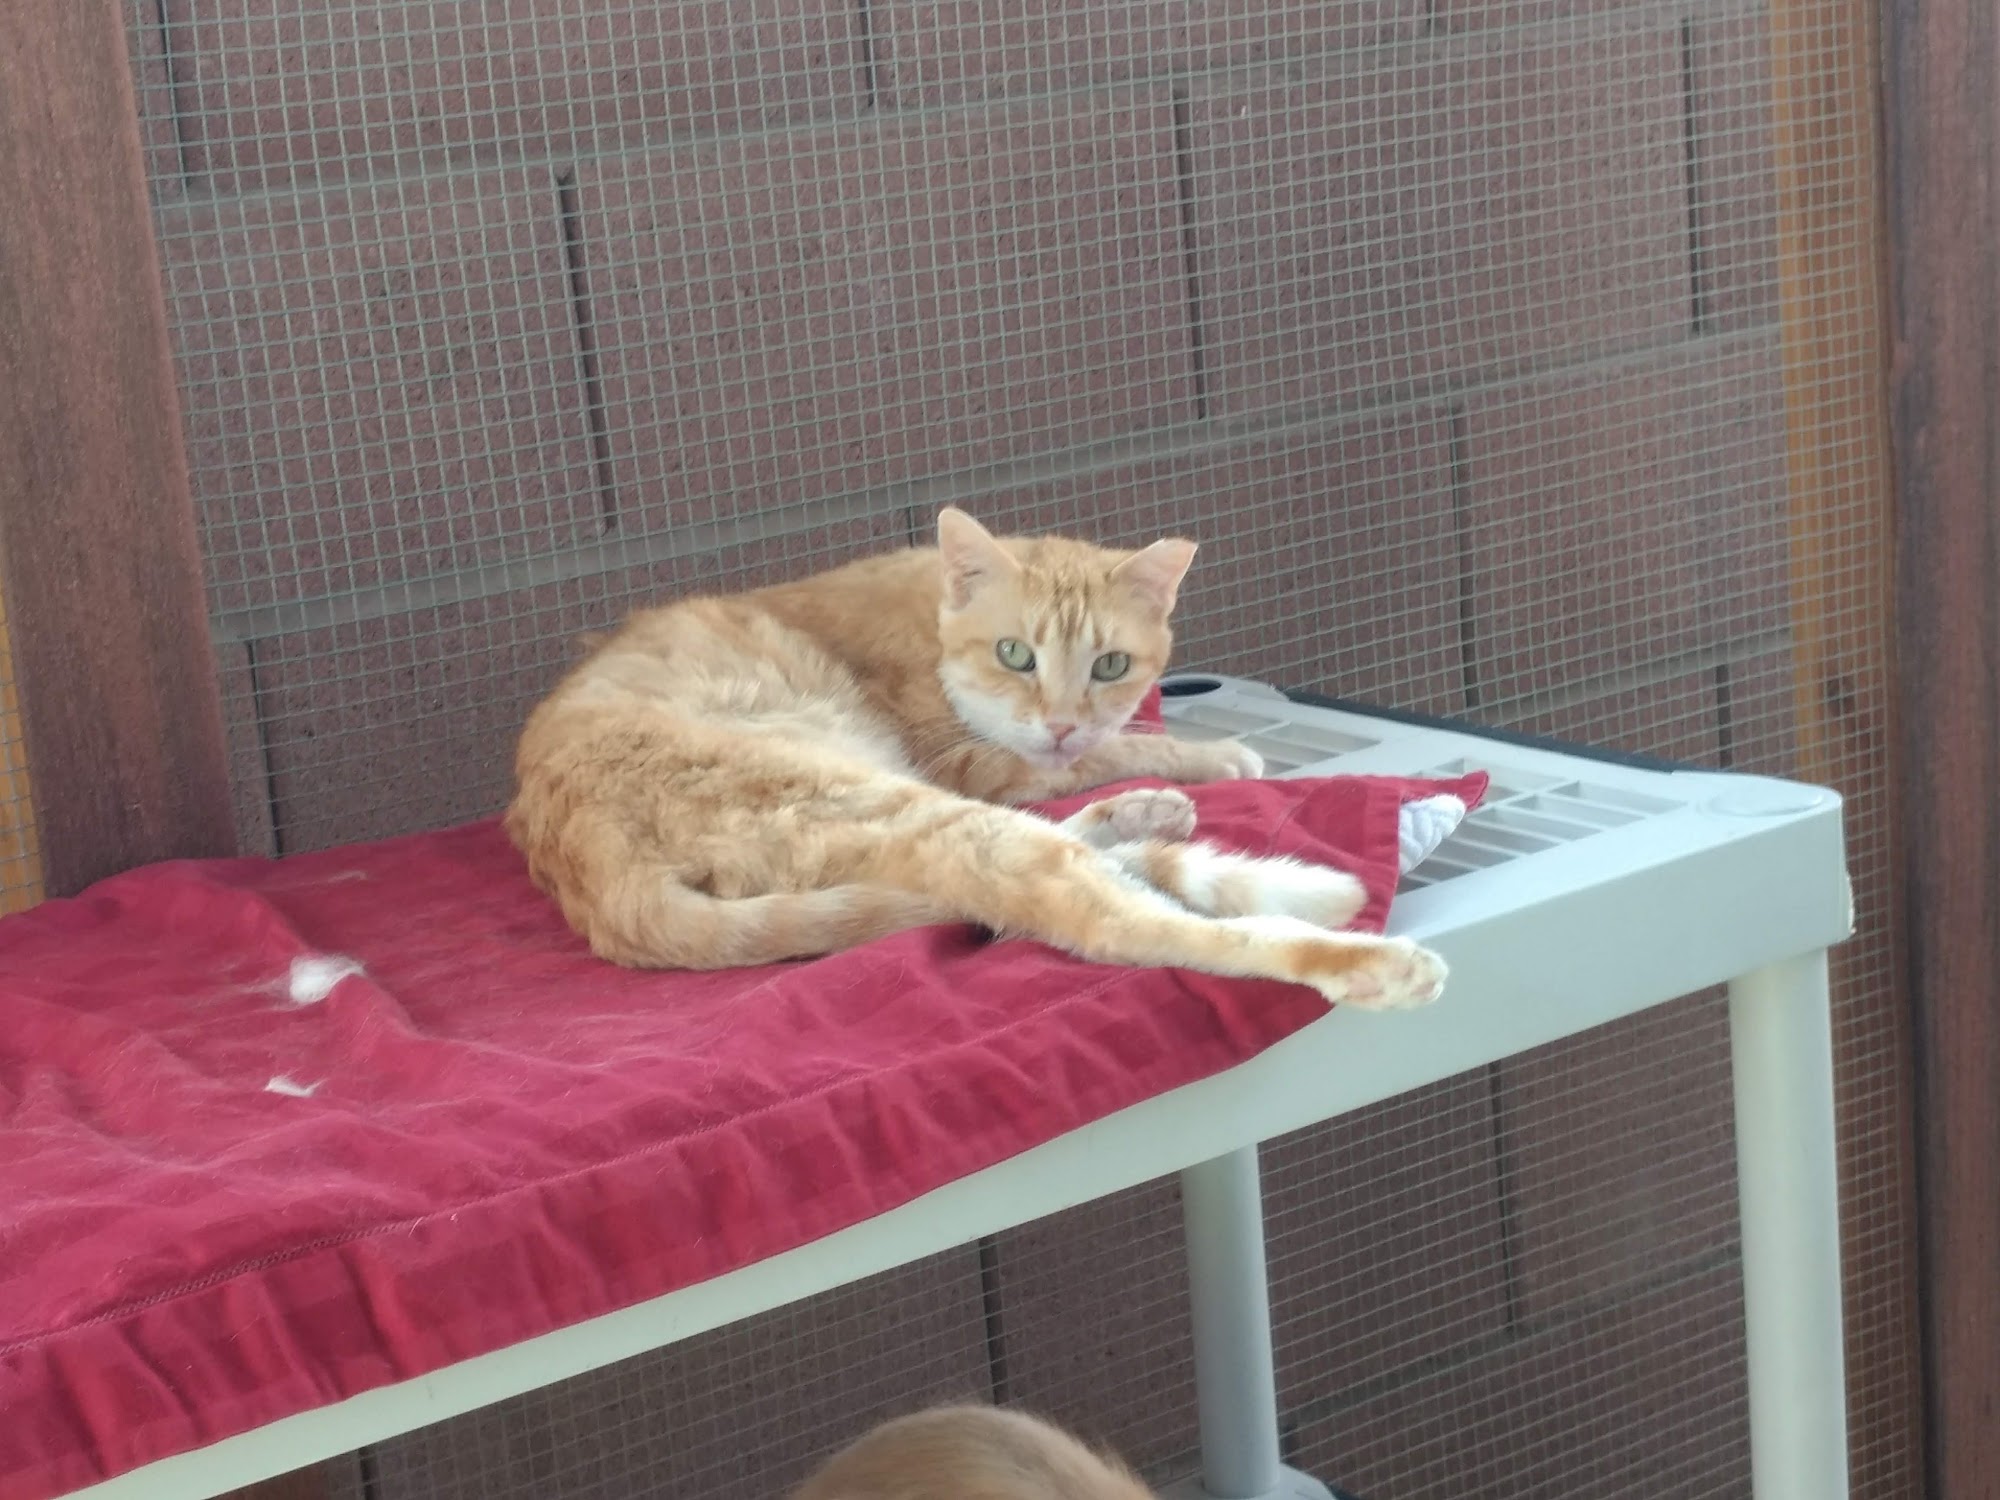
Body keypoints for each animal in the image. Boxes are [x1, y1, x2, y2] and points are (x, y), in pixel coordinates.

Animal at [504, 508, 1446, 1009]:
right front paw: (1208, 752)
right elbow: (1085, 758)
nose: (1060, 718)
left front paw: (1143, 761)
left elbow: (1097, 752)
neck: (930, 617)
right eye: (1015, 654)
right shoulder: (972, 764)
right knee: (1109, 916)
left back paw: (1141, 816)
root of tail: (598, 879)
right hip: (892, 802)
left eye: (1110, 664)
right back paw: (1360, 953)